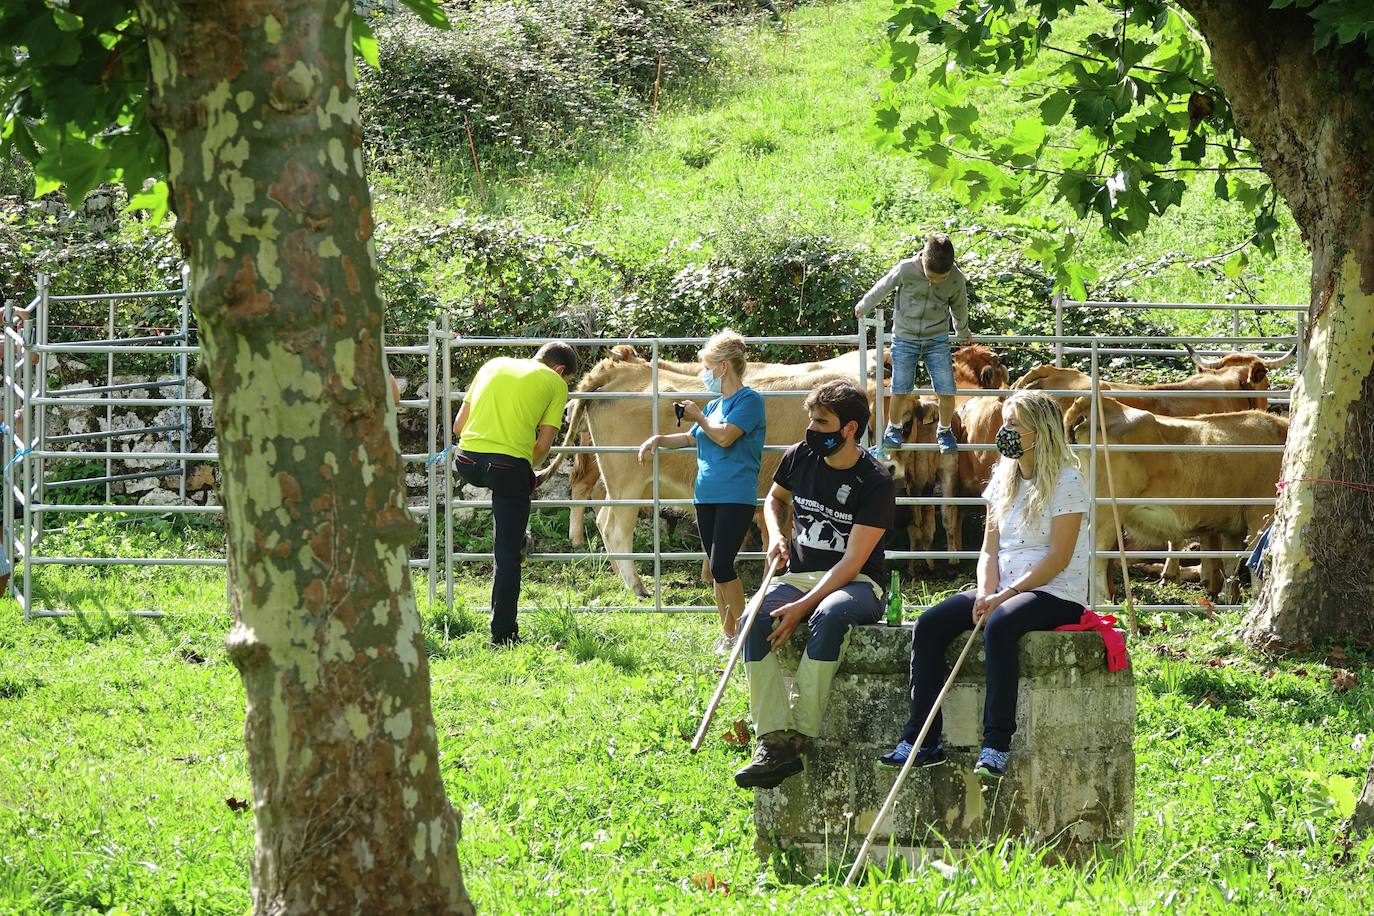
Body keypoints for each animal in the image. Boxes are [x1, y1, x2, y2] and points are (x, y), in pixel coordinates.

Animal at [1060, 395, 1286, 601]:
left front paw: (1229, 600)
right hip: (1106, 511)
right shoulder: (1259, 515)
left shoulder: (1234, 527)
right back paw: (1103, 600)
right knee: (1096, 553)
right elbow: (1257, 562)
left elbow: (1232, 565)